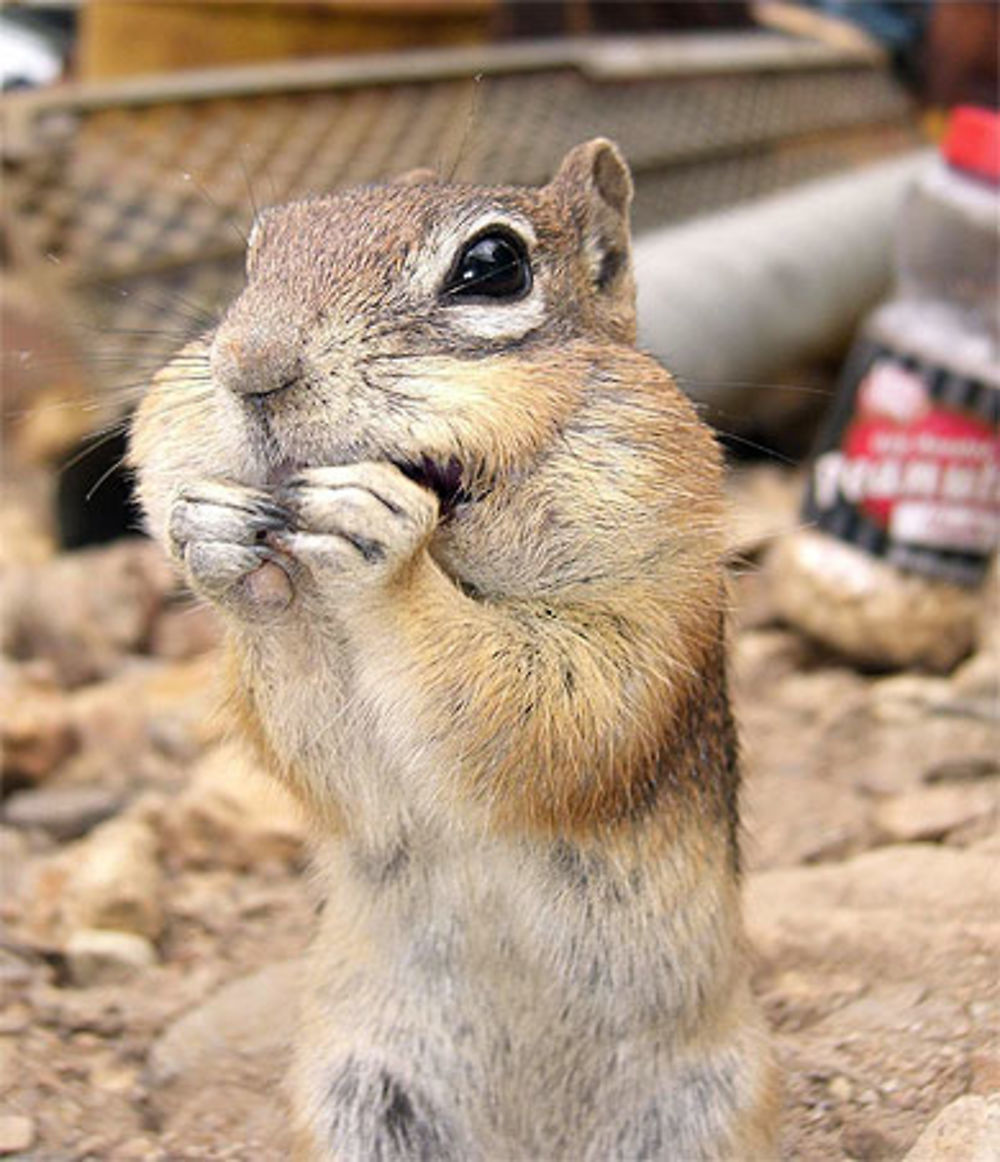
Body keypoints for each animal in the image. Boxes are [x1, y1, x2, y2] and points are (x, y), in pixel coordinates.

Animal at [131, 138, 778, 1161]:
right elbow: (331, 748)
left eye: (493, 266)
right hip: (357, 1097)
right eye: (254, 256)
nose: (249, 365)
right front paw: (215, 536)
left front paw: (383, 550)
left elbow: (555, 707)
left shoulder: (637, 621)